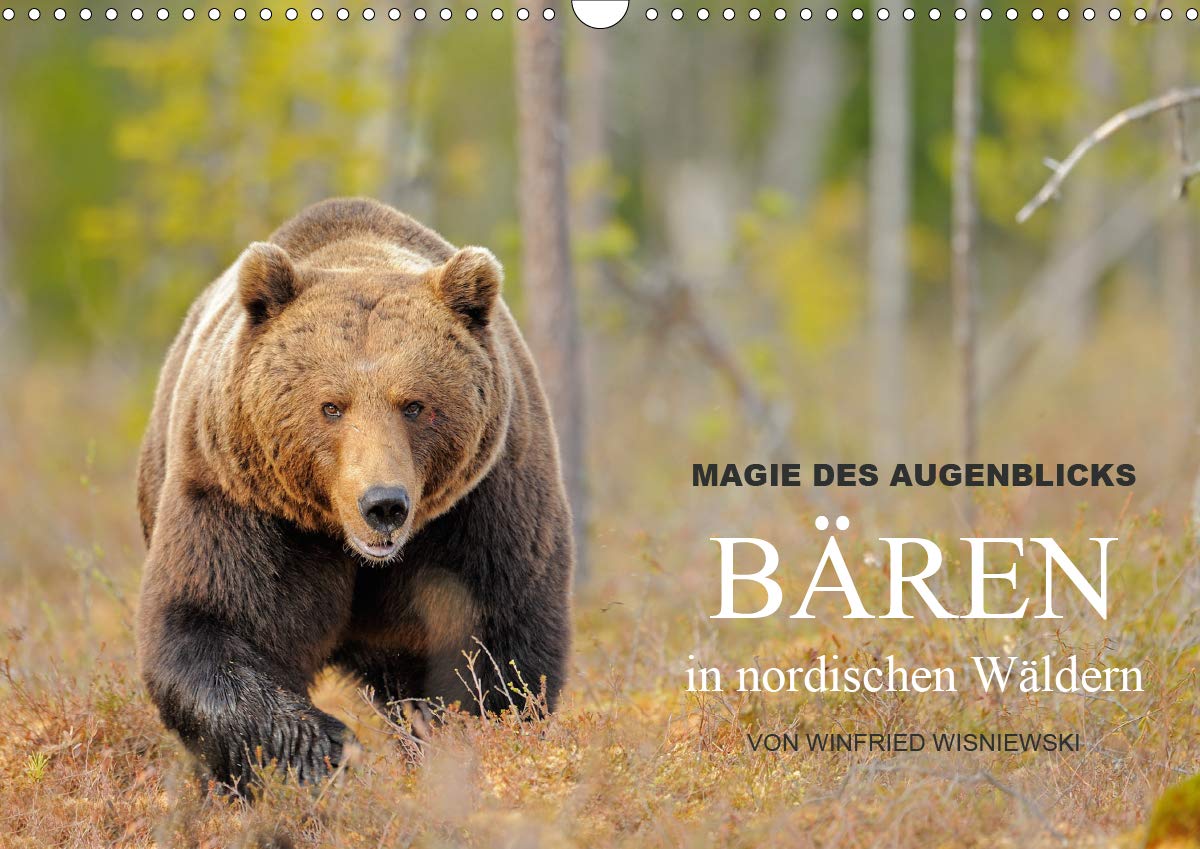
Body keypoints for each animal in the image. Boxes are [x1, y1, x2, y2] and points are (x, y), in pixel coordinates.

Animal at [135, 197, 573, 790]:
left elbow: (497, 649)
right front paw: (326, 749)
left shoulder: (482, 506)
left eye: (414, 404)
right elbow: (210, 622)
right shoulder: (243, 502)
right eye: (331, 406)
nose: (383, 504)